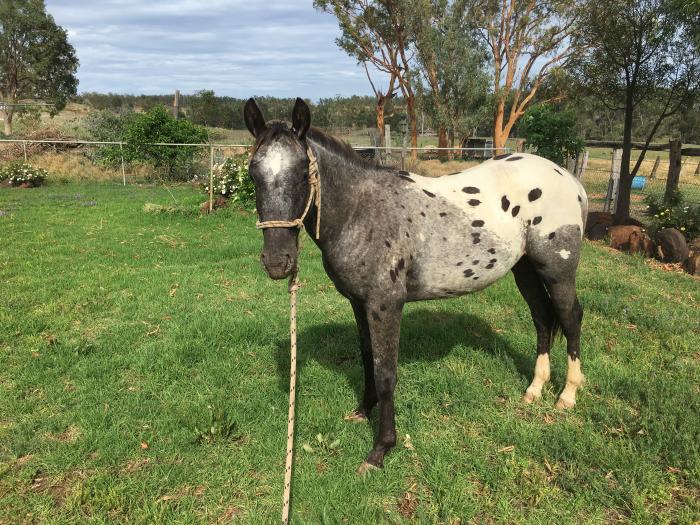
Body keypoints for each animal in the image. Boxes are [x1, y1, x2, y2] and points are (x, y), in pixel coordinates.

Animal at [244, 97, 587, 474]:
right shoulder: (359, 303)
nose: (277, 262)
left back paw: (567, 395)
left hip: (557, 271)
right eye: (253, 174)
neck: (361, 211)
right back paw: (535, 389)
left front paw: (380, 450)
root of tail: (570, 181)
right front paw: (363, 410)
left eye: (304, 173)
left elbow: (386, 372)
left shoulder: (386, 305)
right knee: (542, 318)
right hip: (525, 270)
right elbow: (367, 358)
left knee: (570, 318)